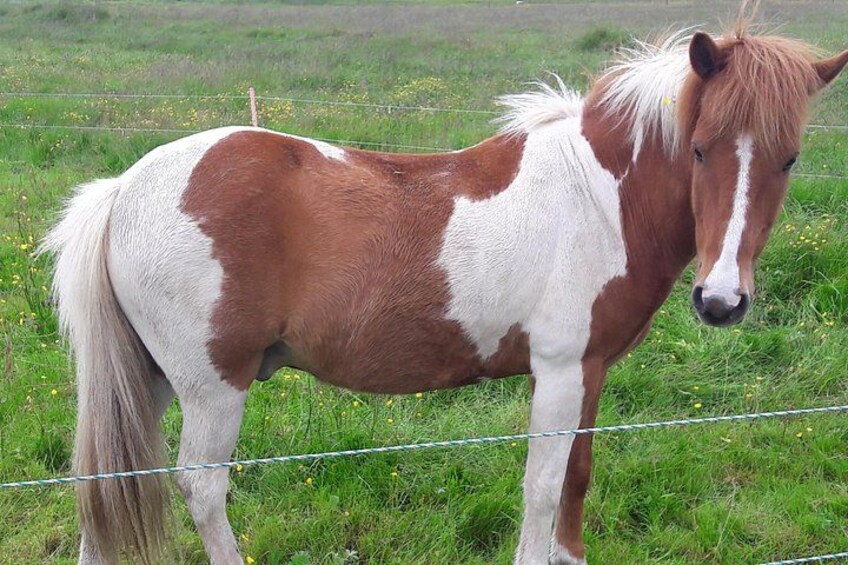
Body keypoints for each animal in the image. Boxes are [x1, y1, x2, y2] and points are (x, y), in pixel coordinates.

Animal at [42, 19, 846, 565]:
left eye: (790, 158)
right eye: (701, 149)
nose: (721, 301)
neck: (597, 196)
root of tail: (122, 191)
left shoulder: (589, 371)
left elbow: (577, 481)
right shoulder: (559, 373)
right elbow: (543, 488)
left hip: (148, 380)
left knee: (104, 488)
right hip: (213, 387)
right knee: (203, 488)